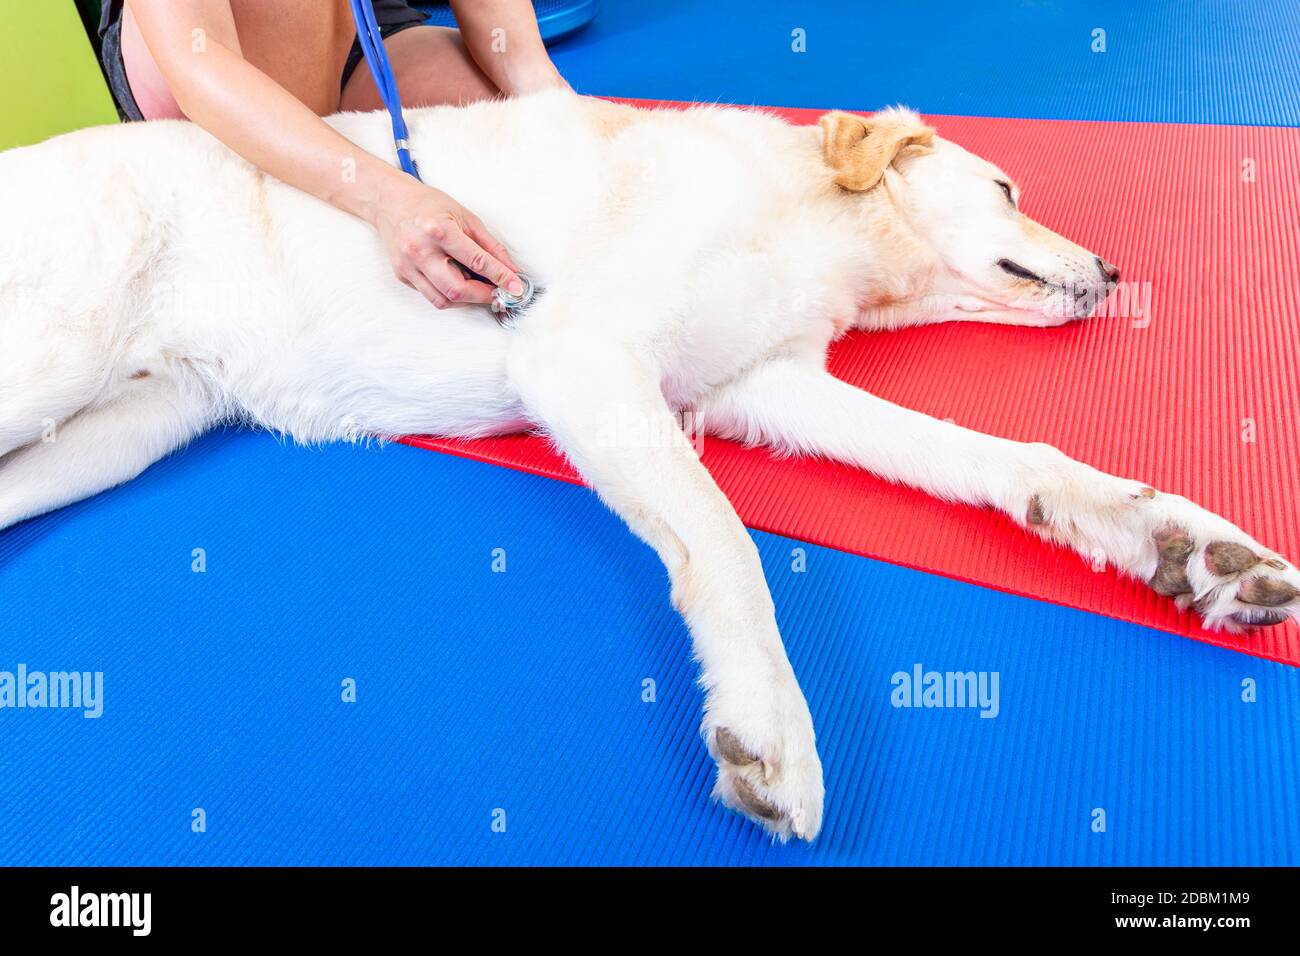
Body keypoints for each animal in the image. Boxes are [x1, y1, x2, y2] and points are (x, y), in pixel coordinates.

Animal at [0, 89, 1294, 837]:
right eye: (1009, 187)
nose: (1116, 270)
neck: (823, 226)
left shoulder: (763, 382)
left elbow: (990, 454)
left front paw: (1176, 543)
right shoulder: (582, 360)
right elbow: (726, 544)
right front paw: (766, 724)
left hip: (116, 433)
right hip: (53, 355)